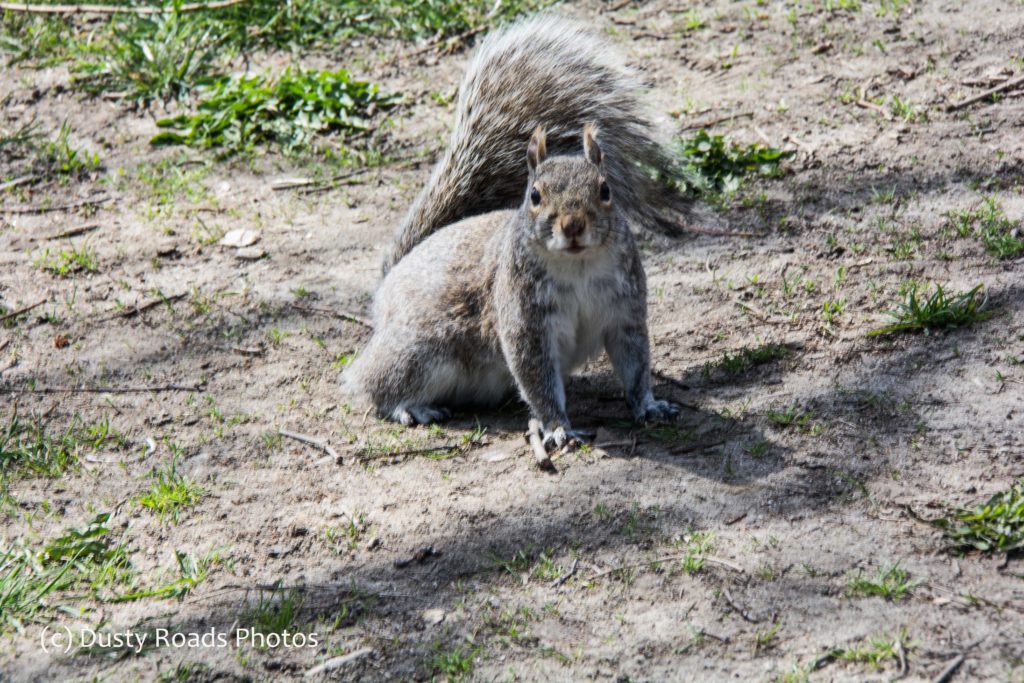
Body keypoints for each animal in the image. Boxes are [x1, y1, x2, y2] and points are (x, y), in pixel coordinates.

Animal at [343, 124, 679, 448]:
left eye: (605, 189)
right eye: (535, 196)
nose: (572, 225)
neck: (578, 266)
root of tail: (388, 285)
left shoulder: (625, 312)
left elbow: (635, 364)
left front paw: (648, 405)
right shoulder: (525, 318)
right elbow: (537, 377)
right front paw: (558, 427)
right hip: (416, 351)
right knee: (374, 383)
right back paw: (409, 406)